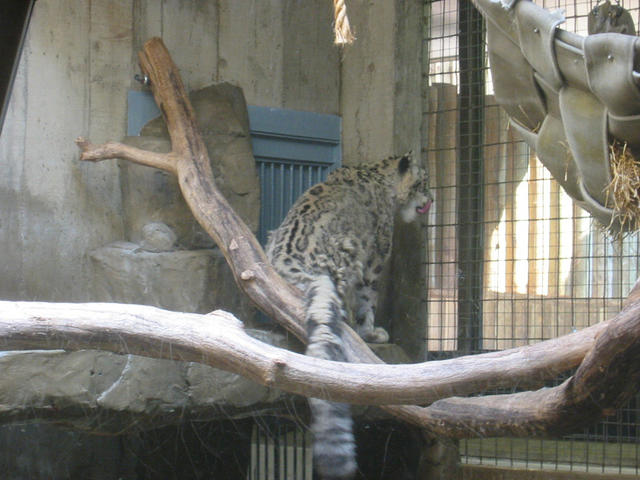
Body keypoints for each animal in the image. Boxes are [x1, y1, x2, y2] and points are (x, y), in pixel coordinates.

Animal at [265, 152, 432, 480]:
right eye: (423, 182)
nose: (431, 199)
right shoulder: (377, 257)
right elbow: (369, 298)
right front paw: (373, 332)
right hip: (346, 255)